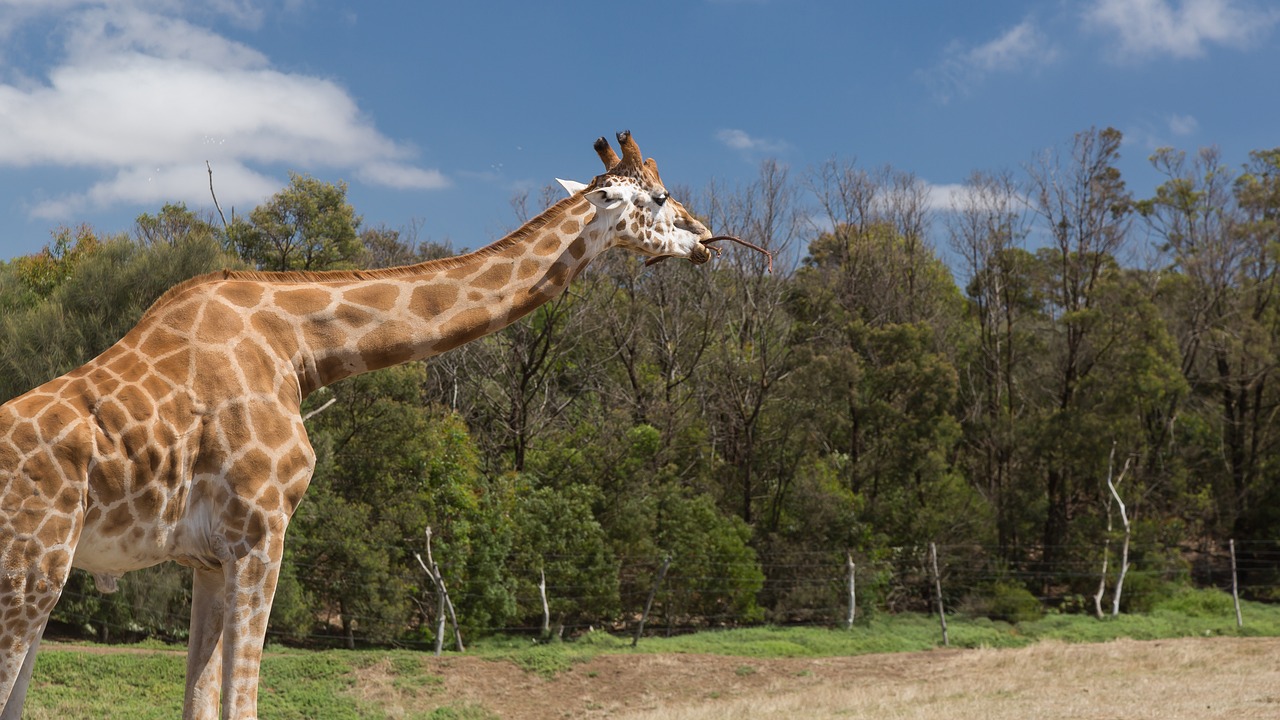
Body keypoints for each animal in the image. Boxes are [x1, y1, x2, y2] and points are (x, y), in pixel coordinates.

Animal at [0, 131, 721, 712]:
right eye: (659, 197)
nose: (708, 239)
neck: (299, 346)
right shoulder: (260, 532)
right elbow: (243, 702)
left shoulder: (205, 557)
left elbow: (200, 704)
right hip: (30, 566)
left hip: (48, 576)